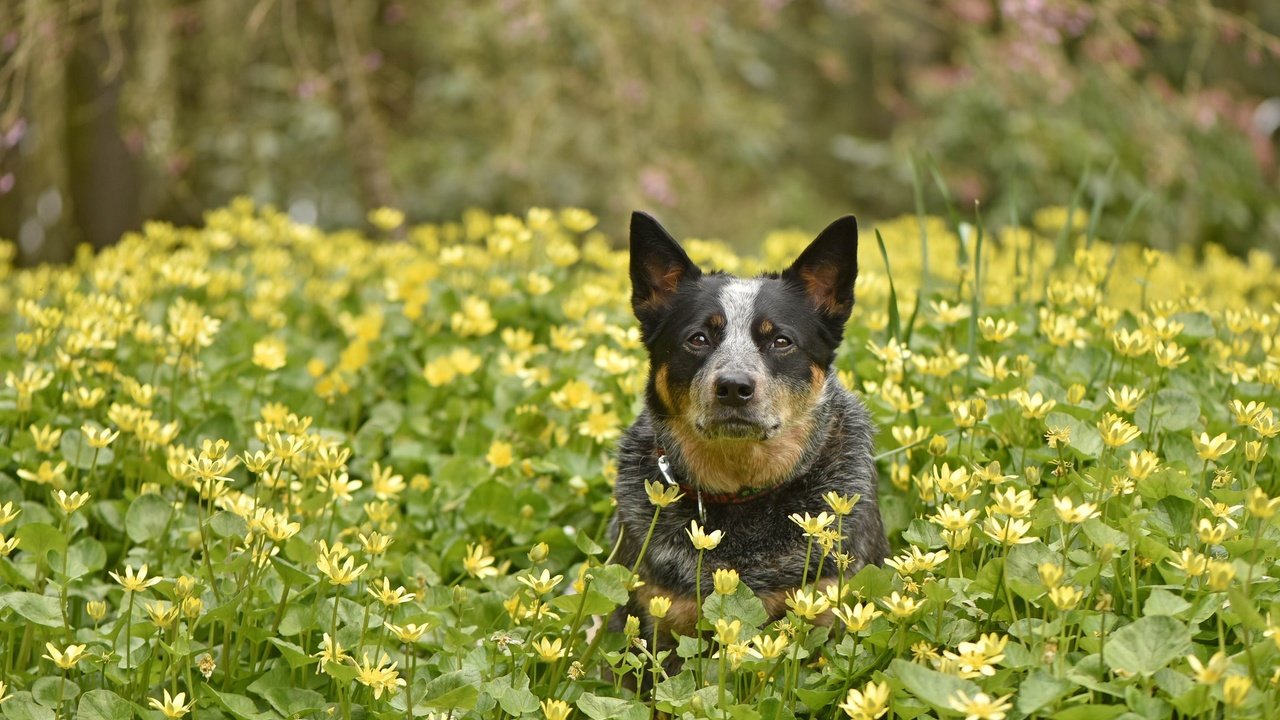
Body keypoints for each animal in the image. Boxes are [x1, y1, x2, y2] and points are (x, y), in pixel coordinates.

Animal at [609, 208, 890, 655]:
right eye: (698, 338)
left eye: (781, 340)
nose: (734, 386)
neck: (742, 493)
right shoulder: (655, 622)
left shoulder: (829, 611)